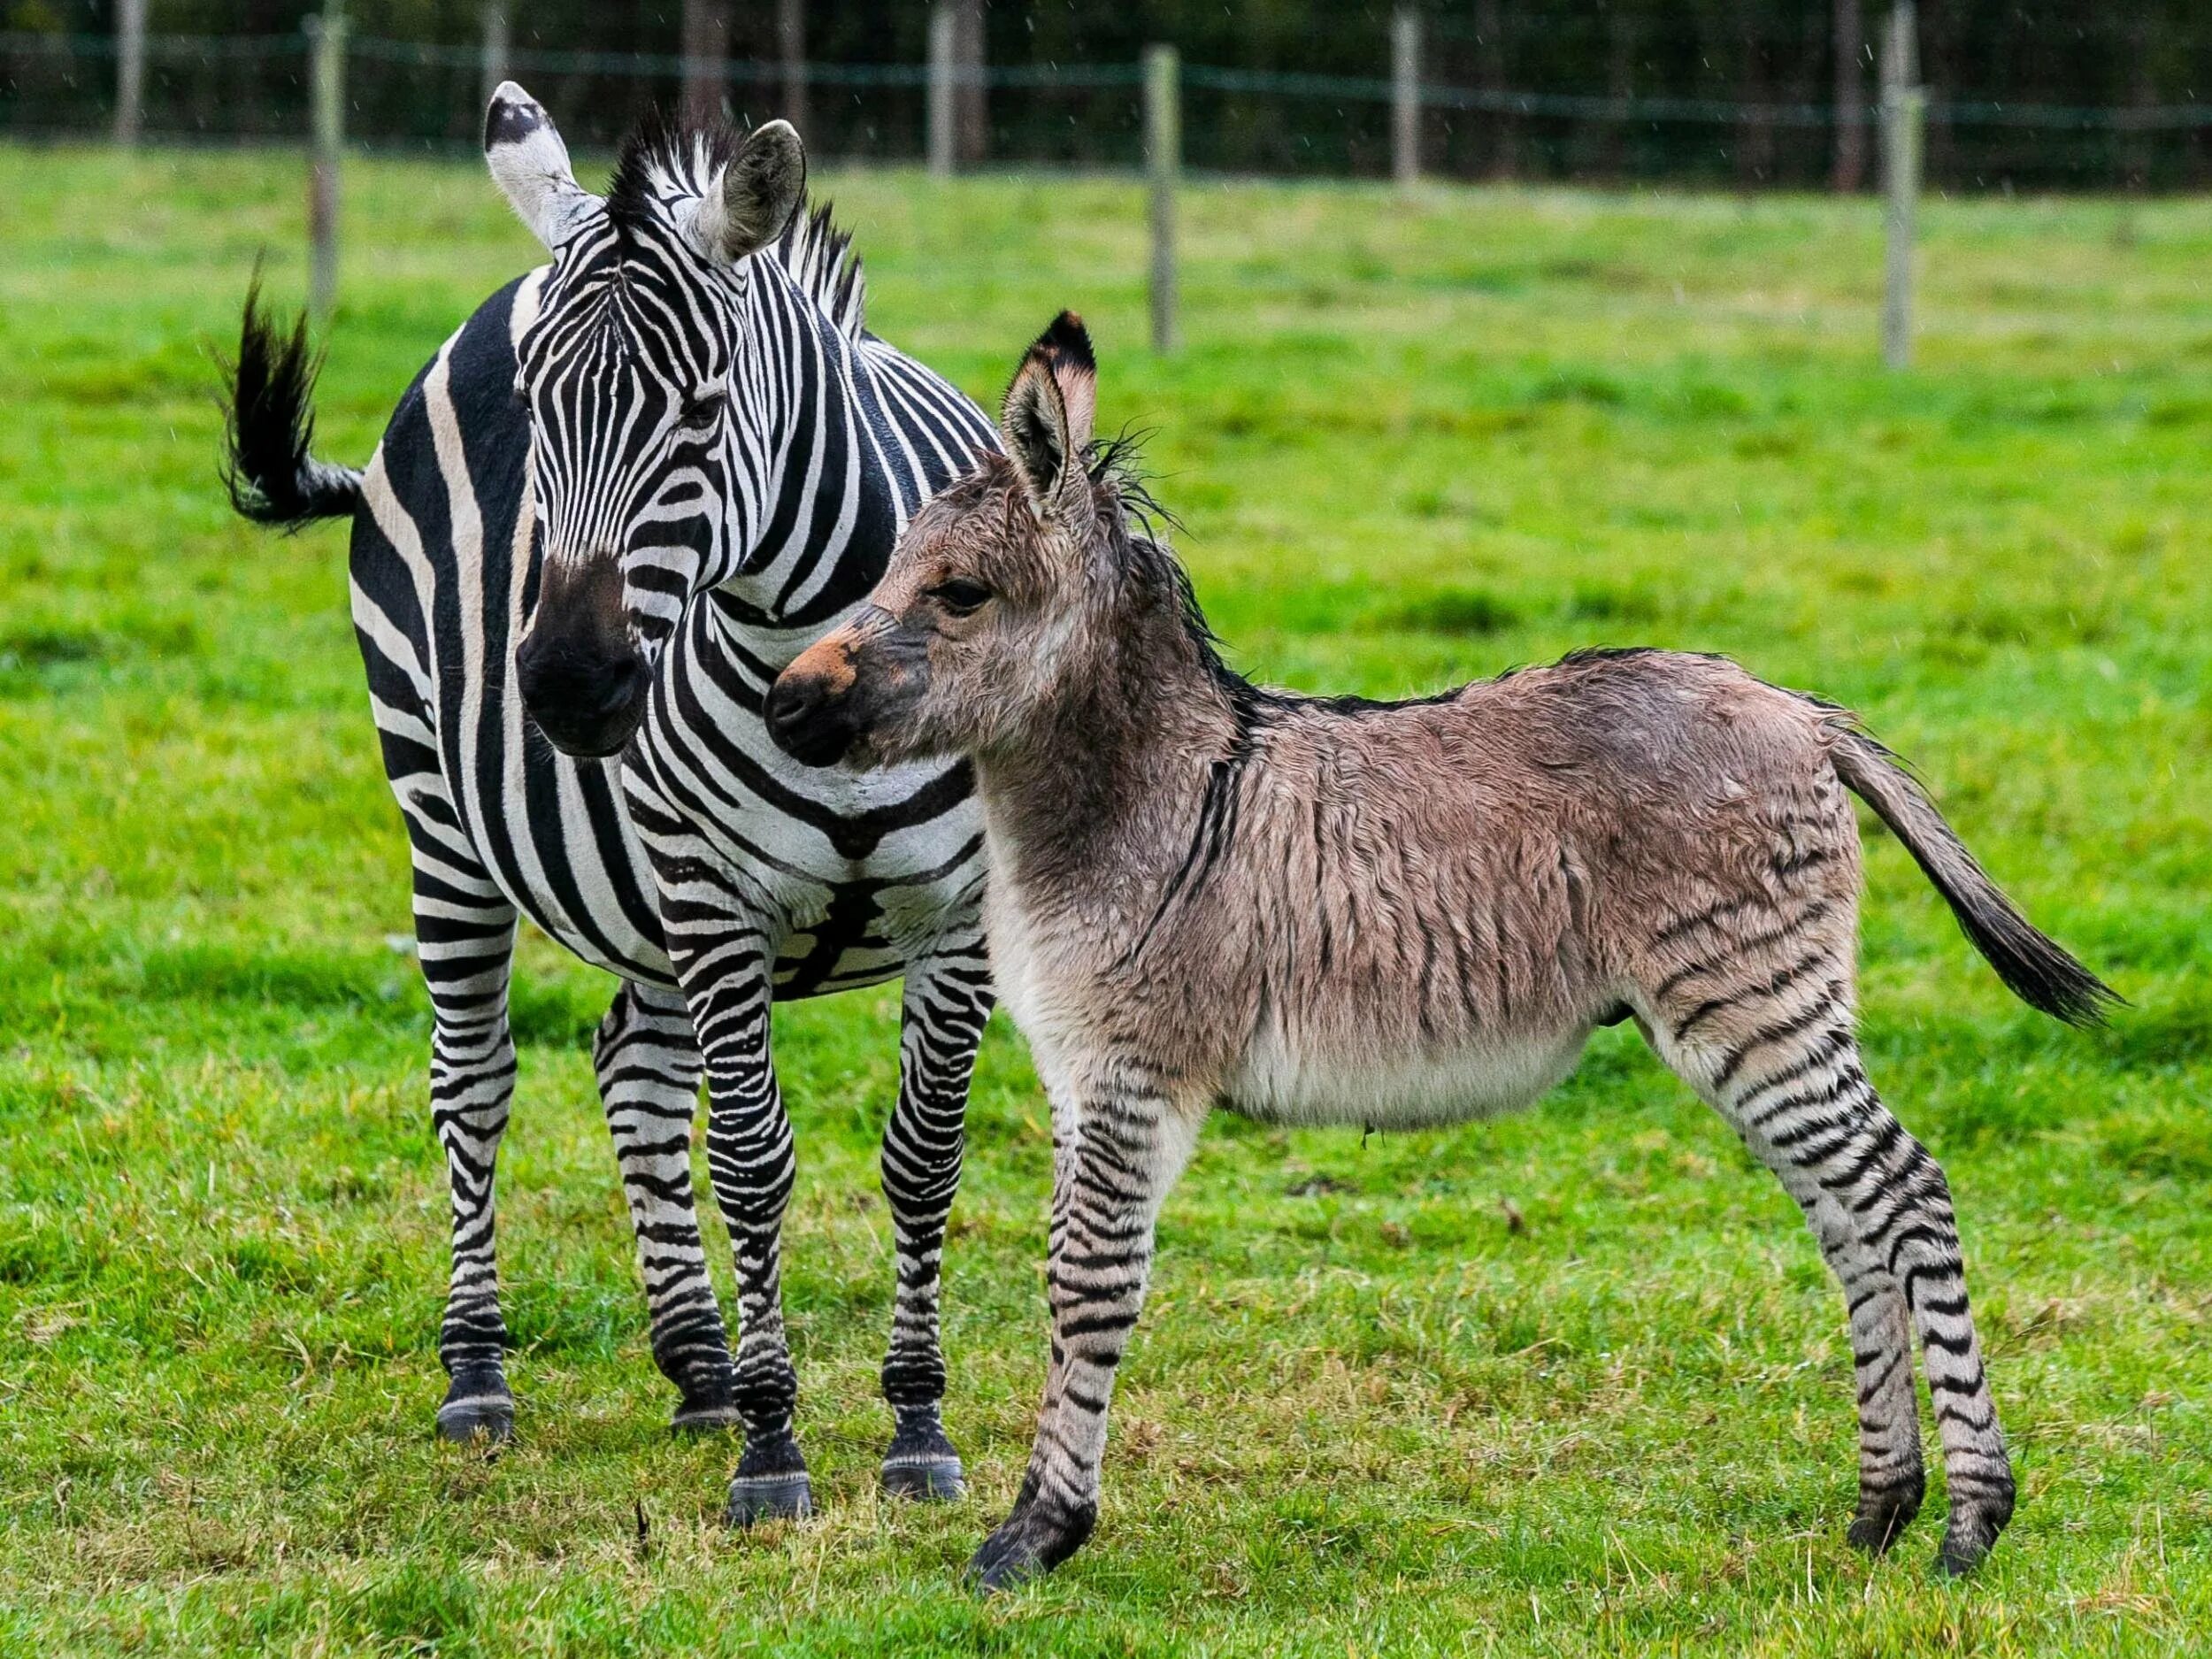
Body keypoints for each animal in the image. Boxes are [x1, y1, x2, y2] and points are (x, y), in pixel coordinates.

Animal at [218, 84, 995, 1531]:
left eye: (701, 408)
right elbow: (751, 1157)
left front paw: (914, 1426)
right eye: (536, 412)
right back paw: (480, 1373)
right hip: (446, 820)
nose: (572, 686)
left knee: (631, 1066)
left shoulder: (957, 912)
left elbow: (923, 1157)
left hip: (644, 895)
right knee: (475, 1082)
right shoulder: (716, 895)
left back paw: (697, 1364)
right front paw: (775, 1452)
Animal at [765, 314, 2124, 1601]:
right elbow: (1072, 1269)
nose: (785, 704)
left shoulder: (1131, 1073)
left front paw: (1036, 1532)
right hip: (1754, 1018)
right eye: (890, 573)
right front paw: (1042, 1520)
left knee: (1906, 1192)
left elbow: (1086, 1284)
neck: (1143, 795)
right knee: (1850, 1218)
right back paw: (1880, 1510)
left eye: (959, 593)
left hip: (1752, 1005)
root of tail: (1800, 708)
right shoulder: (1078, 1079)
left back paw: (1970, 1522)